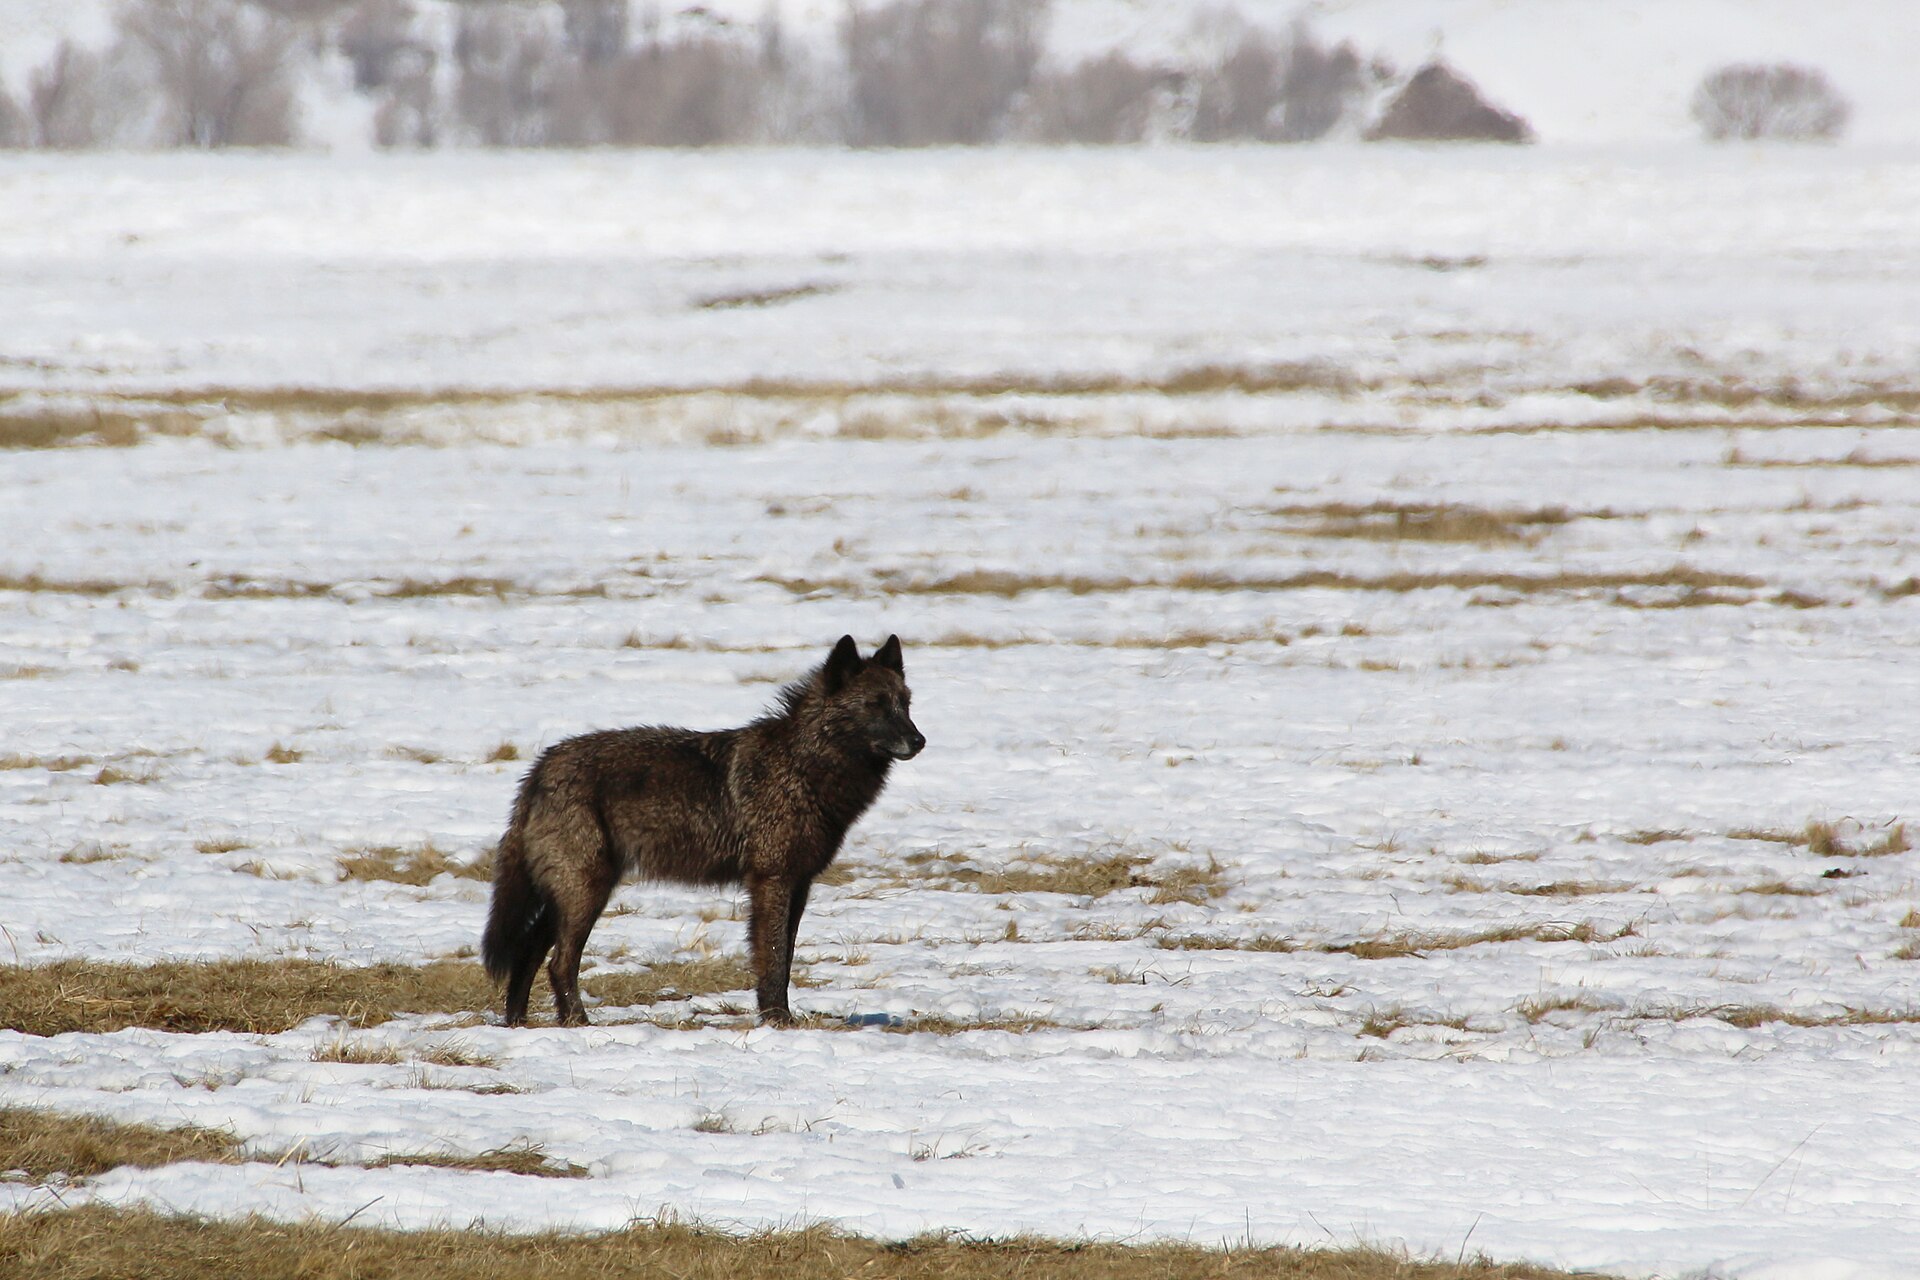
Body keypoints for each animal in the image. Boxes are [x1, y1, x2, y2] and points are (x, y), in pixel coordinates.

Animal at [481, 635, 924, 1027]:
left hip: (569, 896)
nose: (919, 741)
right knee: (559, 963)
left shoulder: (799, 884)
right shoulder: (772, 880)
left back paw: (518, 1024)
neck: (802, 765)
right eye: (875, 706)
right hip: (586, 893)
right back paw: (577, 1024)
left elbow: (784, 958)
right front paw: (778, 1021)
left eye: (904, 704)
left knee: (529, 953)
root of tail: (540, 767)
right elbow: (773, 958)